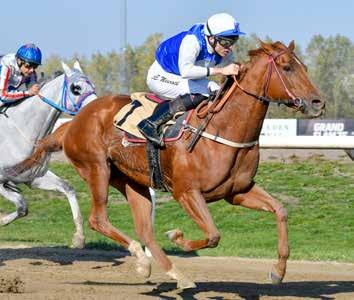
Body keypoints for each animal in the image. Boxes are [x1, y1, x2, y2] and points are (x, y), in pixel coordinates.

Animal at [0, 61, 97, 248]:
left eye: (92, 86)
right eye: (76, 88)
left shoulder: (33, 177)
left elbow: (67, 188)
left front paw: (79, 237)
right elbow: (22, 205)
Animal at [13, 40, 324, 288]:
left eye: (304, 66)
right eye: (286, 67)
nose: (317, 103)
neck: (223, 128)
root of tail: (74, 121)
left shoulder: (237, 191)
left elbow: (281, 210)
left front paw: (278, 271)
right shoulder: (186, 192)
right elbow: (213, 235)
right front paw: (177, 236)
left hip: (132, 180)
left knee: (144, 230)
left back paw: (170, 272)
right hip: (96, 169)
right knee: (98, 219)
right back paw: (143, 260)